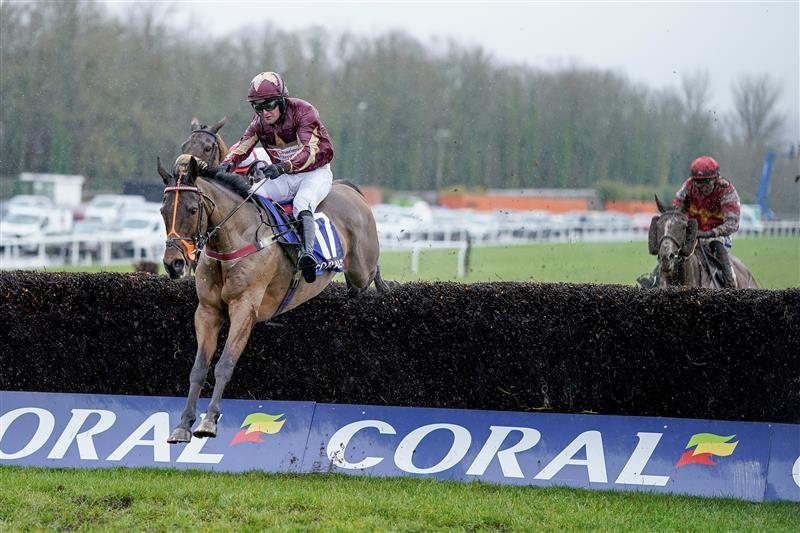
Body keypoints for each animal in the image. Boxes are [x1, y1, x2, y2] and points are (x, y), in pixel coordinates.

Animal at [155, 156, 390, 442]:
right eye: (163, 210)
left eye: (191, 210)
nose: (174, 263)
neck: (232, 239)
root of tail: (348, 188)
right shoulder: (207, 311)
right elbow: (198, 368)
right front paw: (183, 424)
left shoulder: (244, 308)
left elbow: (224, 364)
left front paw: (209, 421)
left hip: (360, 269)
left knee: (372, 272)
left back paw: (385, 291)